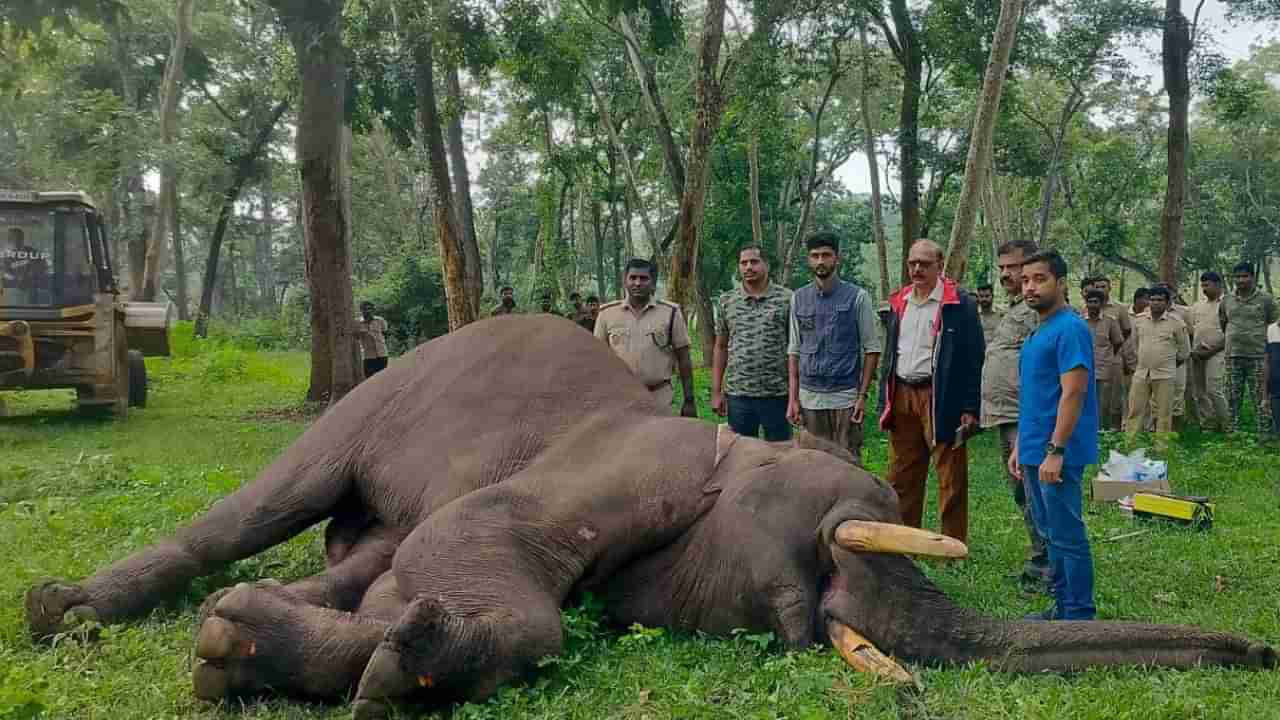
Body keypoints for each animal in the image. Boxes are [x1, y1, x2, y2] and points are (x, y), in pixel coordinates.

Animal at [24, 316, 1274, 712]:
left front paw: (245, 650)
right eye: (855, 518)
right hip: (378, 393)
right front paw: (388, 668)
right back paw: (58, 612)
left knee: (364, 547)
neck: (733, 451)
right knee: (269, 502)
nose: (1259, 654)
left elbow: (422, 565)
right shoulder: (633, 457)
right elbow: (488, 545)